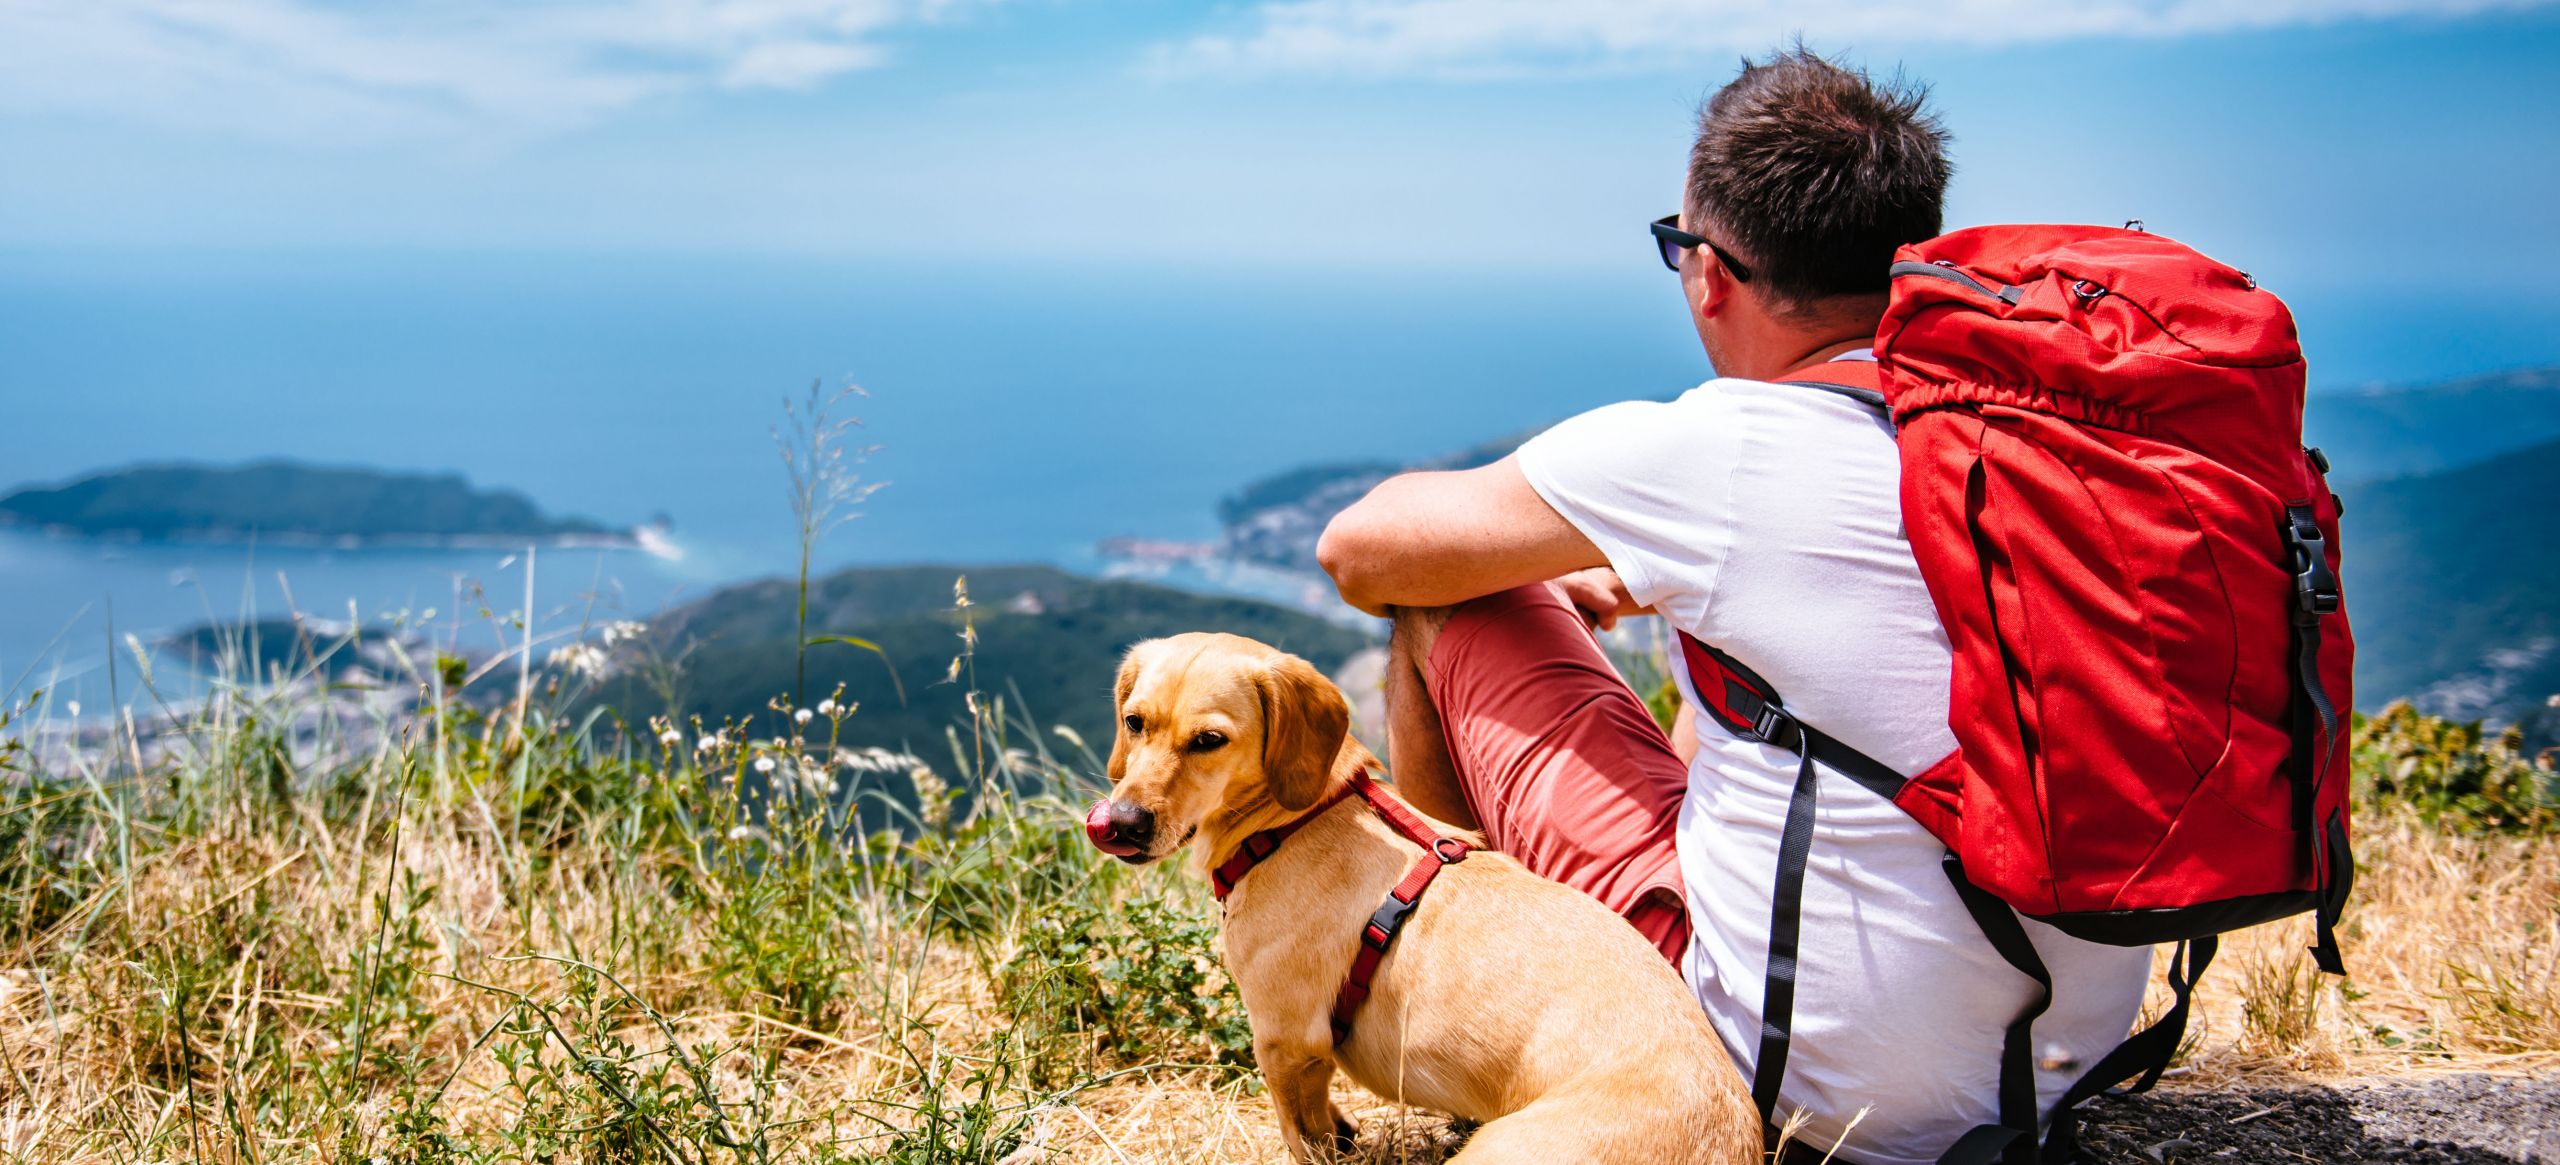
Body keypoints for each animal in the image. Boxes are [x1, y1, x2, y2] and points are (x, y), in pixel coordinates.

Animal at [1080, 634, 1761, 1165]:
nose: (1120, 824)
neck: (1297, 819)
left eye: (1209, 740)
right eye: (1135, 722)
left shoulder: (1284, 1043)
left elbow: (1300, 1134)